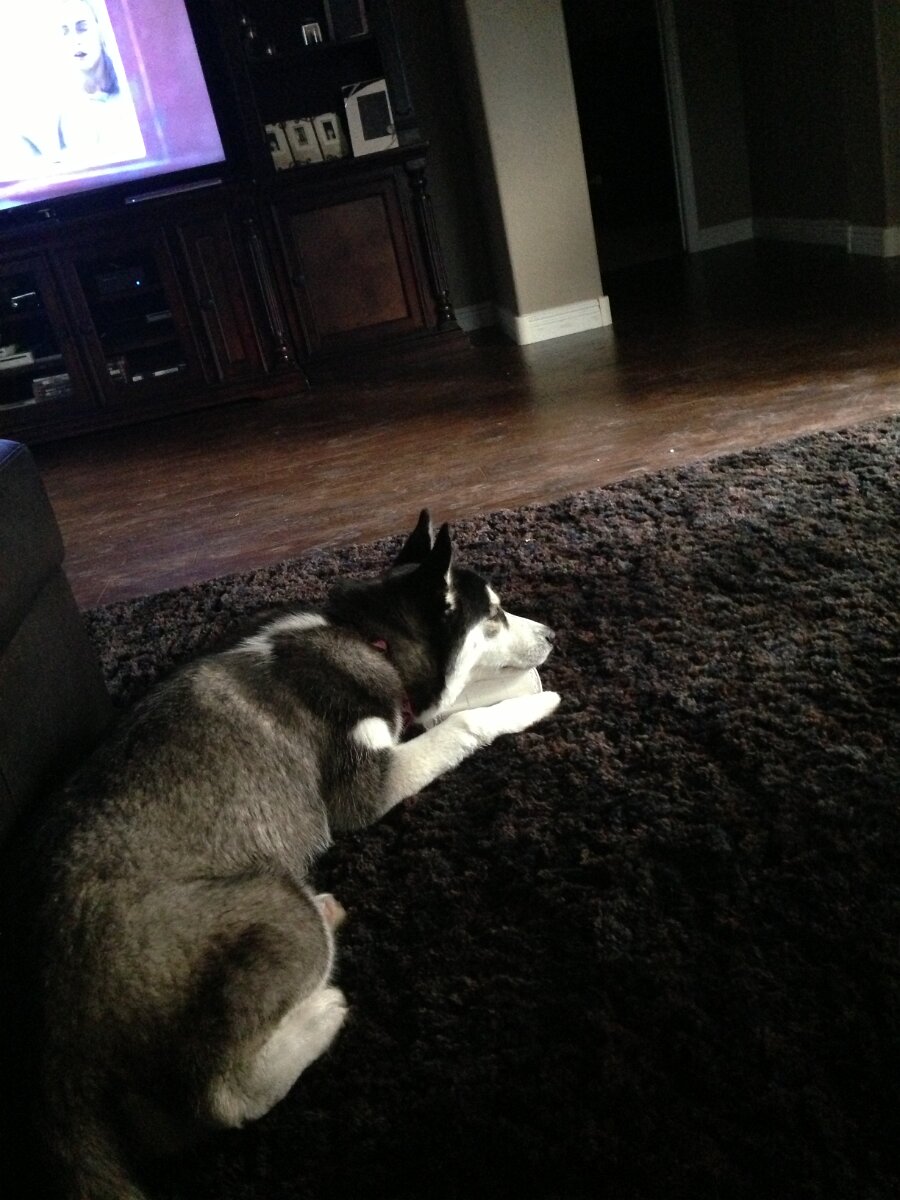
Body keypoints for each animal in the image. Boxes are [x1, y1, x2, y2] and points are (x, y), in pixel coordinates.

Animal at [23, 511, 560, 1199]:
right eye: (493, 614)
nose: (551, 633)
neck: (366, 639)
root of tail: (49, 1056)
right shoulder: (364, 786)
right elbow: (460, 725)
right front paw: (531, 703)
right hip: (274, 905)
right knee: (223, 1099)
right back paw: (322, 1014)